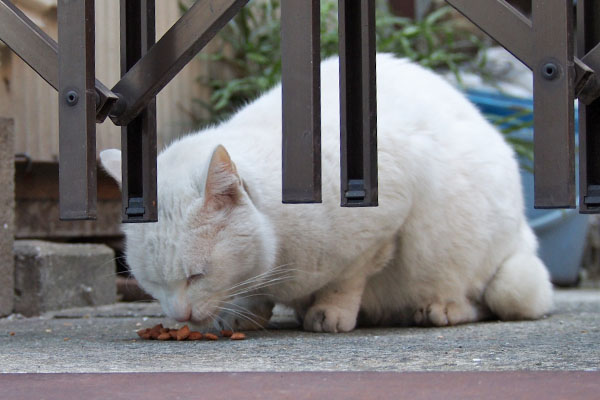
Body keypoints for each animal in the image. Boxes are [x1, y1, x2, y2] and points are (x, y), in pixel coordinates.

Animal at [99, 54, 552, 334]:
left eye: (197, 275)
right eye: (152, 283)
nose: (181, 315)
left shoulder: (386, 219)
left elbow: (349, 276)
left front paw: (330, 311)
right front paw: (246, 313)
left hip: (502, 276)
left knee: (485, 299)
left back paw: (441, 308)